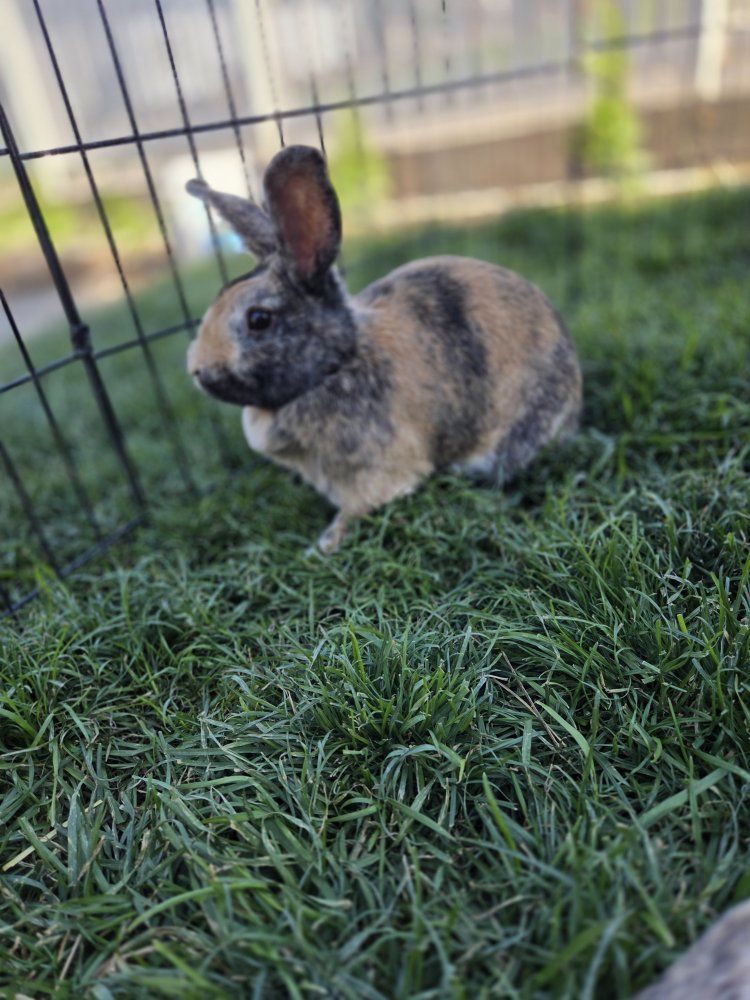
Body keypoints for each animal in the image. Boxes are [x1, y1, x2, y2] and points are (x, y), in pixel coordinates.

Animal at [186, 145, 582, 552]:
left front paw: (322, 546)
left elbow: (359, 508)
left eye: (259, 319)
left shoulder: (376, 472)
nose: (197, 370)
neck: (337, 364)